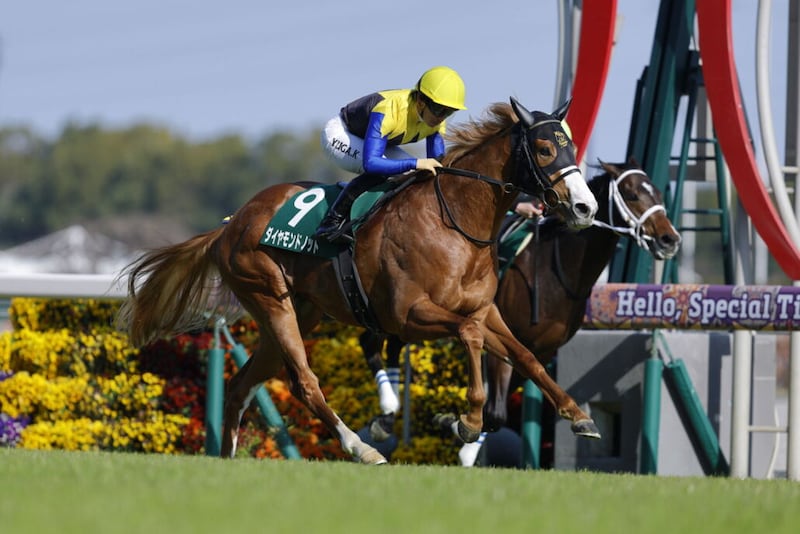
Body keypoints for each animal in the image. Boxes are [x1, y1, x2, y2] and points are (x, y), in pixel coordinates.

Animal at [116, 97, 600, 465]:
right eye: (543, 149)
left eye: (571, 145)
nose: (585, 207)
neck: (455, 222)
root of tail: (230, 224)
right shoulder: (409, 315)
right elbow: (469, 336)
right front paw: (467, 421)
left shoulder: (486, 310)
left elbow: (524, 355)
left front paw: (577, 414)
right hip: (270, 298)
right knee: (304, 381)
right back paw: (361, 448)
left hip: (298, 313)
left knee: (241, 385)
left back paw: (229, 459)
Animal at [361, 160, 682, 454]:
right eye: (632, 194)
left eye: (657, 192)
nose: (670, 240)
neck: (558, 272)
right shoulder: (499, 336)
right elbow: (497, 411)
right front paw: (456, 426)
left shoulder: (543, 349)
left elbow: (511, 396)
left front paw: (453, 423)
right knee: (371, 341)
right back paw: (385, 414)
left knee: (390, 344)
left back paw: (386, 417)